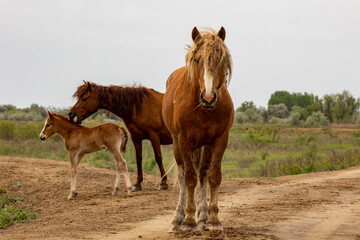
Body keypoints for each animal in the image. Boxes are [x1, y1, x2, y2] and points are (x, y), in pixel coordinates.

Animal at [162, 27, 235, 232]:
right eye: (196, 60)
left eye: (221, 60)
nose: (208, 97)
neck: (203, 110)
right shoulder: (184, 141)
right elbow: (189, 178)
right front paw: (188, 220)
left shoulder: (220, 139)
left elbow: (213, 176)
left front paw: (213, 220)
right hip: (177, 144)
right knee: (182, 176)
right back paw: (178, 219)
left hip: (205, 145)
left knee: (203, 174)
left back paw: (202, 217)